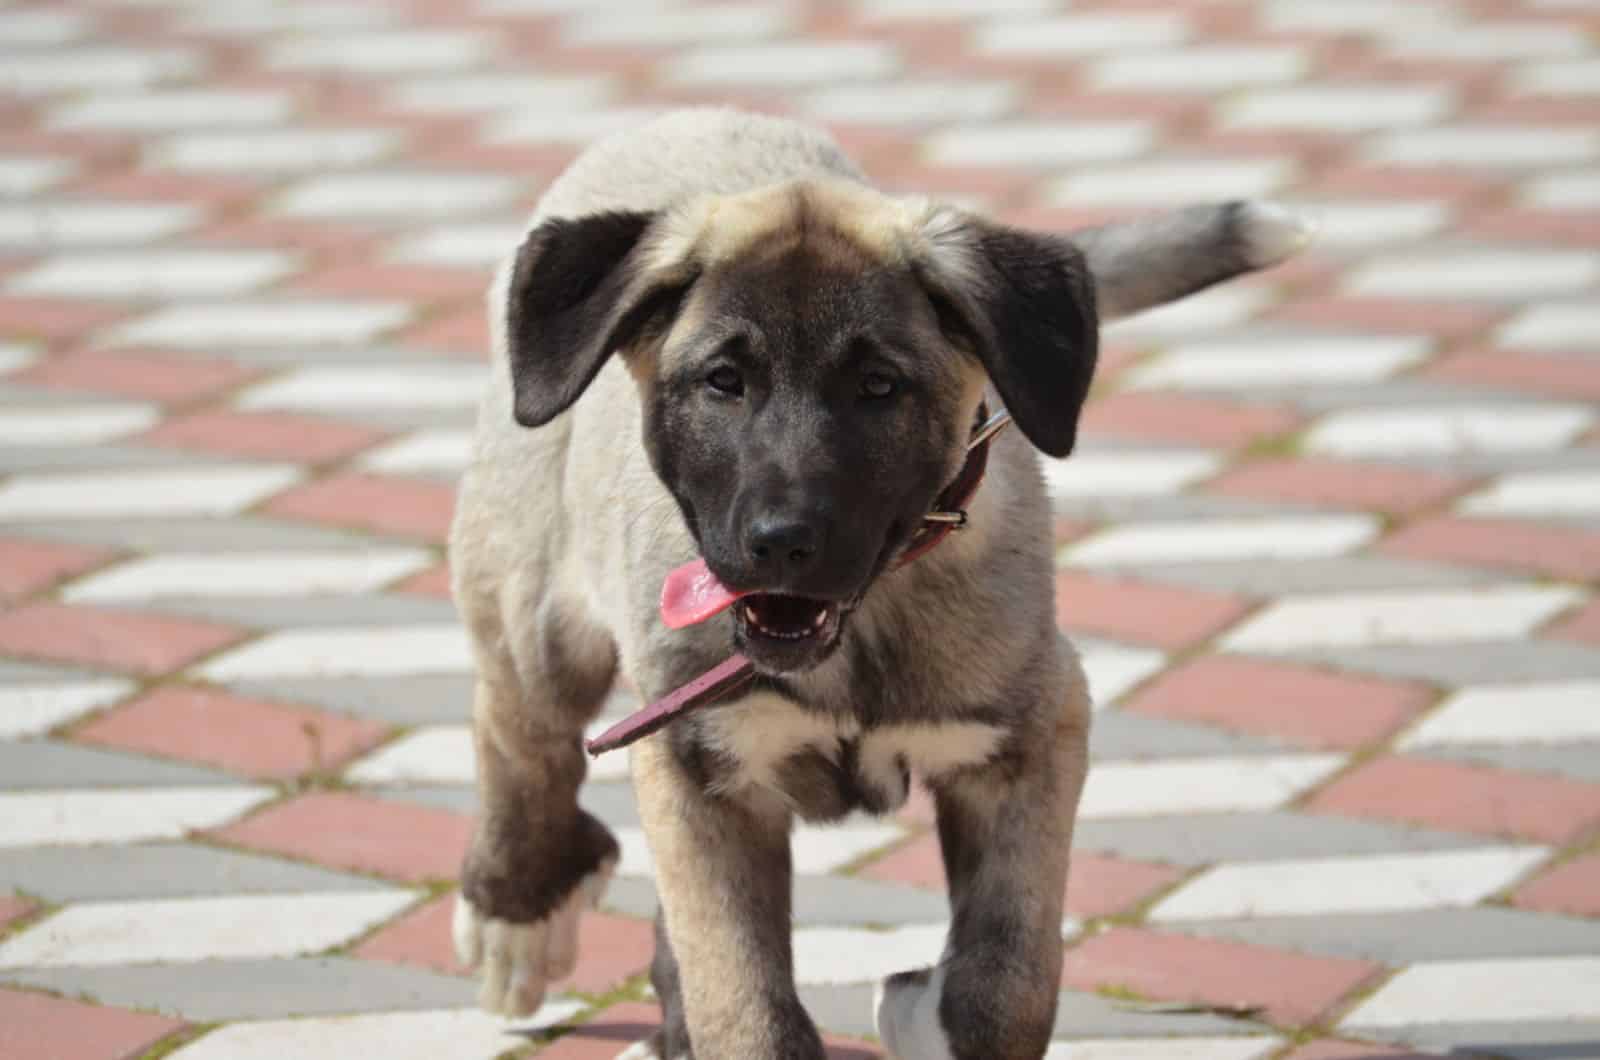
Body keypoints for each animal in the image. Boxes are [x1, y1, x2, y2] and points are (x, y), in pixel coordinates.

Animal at [444, 109, 1305, 1060]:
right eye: (723, 382)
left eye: (879, 386)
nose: (782, 543)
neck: (859, 633)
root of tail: (696, 116)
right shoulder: (694, 759)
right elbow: (744, 1001)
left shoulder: (1034, 733)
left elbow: (1010, 977)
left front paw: (931, 1012)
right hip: (533, 605)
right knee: (521, 735)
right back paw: (517, 911)